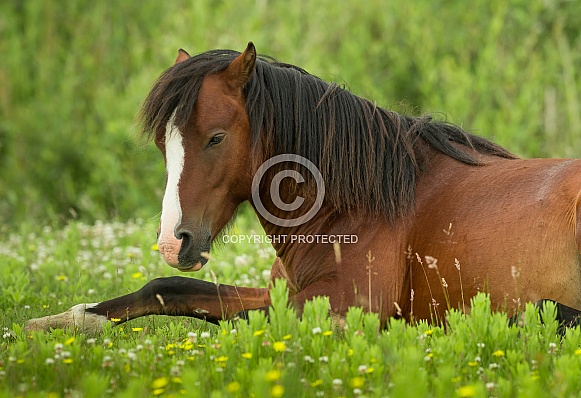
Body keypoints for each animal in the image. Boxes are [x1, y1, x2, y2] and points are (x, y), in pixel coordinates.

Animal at [24, 42, 580, 332]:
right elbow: (171, 289)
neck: (358, 204)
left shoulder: (342, 309)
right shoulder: (279, 292)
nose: (172, 243)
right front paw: (66, 319)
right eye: (165, 143)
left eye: (216, 137)